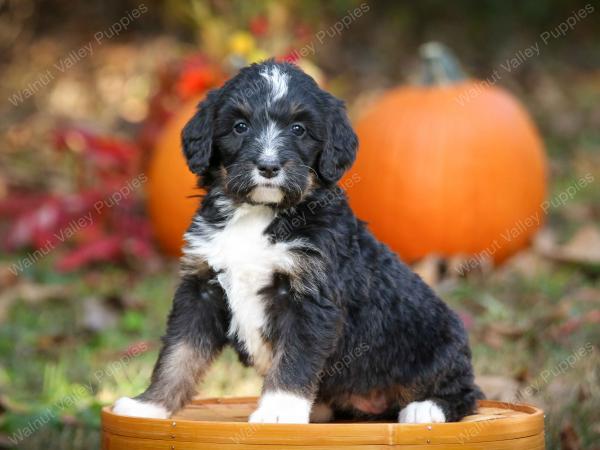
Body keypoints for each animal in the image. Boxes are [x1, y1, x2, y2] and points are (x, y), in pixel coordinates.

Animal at [113, 61, 482, 424]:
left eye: (299, 129)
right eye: (240, 126)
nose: (268, 166)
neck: (260, 214)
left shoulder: (309, 299)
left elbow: (294, 361)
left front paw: (279, 411)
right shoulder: (201, 288)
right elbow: (178, 356)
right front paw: (149, 405)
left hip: (438, 345)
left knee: (467, 393)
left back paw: (426, 408)